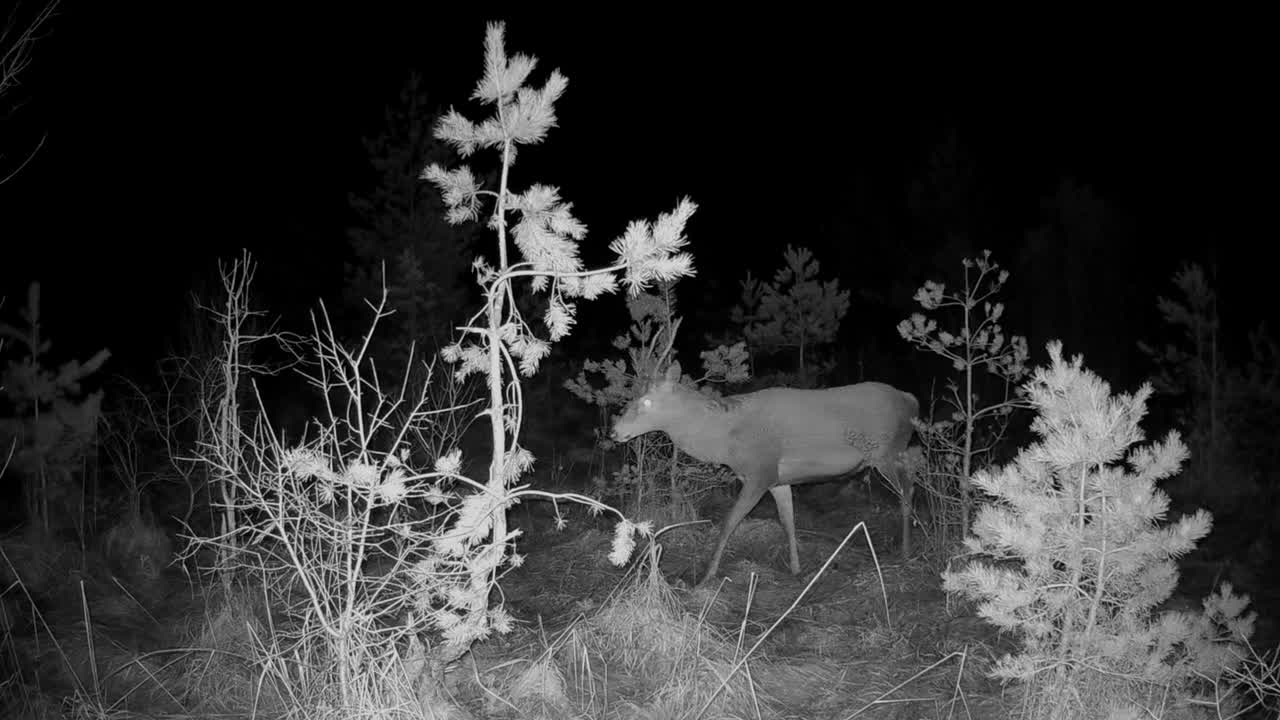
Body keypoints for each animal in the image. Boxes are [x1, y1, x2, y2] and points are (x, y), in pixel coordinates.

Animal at [611, 360, 919, 586]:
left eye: (647, 402)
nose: (614, 432)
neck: (725, 441)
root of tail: (910, 400)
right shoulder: (777, 479)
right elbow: (788, 521)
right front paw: (796, 569)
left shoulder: (759, 472)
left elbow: (729, 522)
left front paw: (707, 576)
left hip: (885, 451)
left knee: (907, 490)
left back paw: (906, 552)